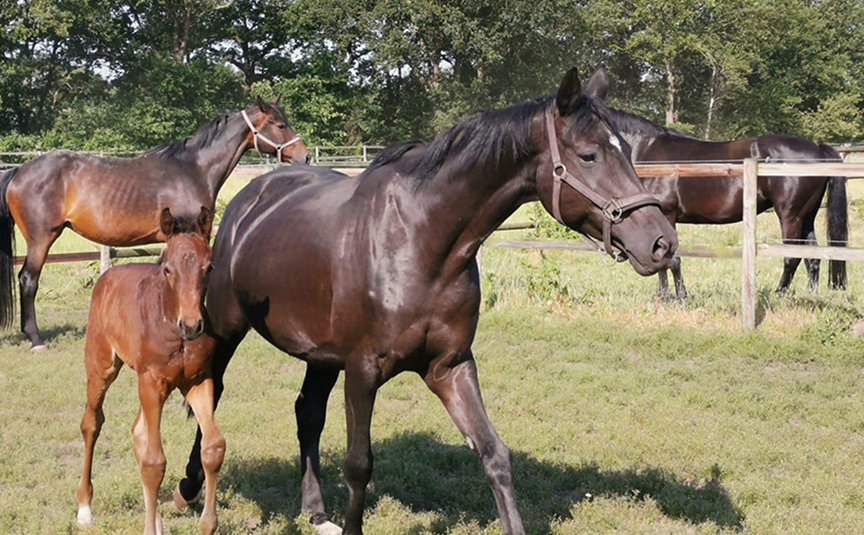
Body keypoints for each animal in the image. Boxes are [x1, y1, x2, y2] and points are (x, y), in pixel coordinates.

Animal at [0, 97, 308, 350]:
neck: (192, 170)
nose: (303, 155)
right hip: (42, 238)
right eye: (280, 124)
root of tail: (19, 170)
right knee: (28, 280)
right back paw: (36, 339)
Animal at [75, 206, 223, 535]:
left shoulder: (198, 381)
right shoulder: (151, 381)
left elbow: (212, 447)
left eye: (208, 267)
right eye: (167, 269)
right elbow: (154, 462)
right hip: (101, 367)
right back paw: (84, 508)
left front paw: (208, 524)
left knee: (139, 433)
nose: (191, 326)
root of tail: (107, 277)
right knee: (92, 423)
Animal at [171, 67, 678, 535]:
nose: (661, 243)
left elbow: (494, 453)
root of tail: (248, 200)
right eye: (589, 155)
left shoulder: (450, 365)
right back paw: (188, 487)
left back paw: (316, 512)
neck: (420, 240)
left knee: (307, 413)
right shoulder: (363, 369)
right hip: (226, 328)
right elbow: (359, 464)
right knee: (212, 391)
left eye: (627, 152)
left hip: (320, 355)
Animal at [596, 70, 848, 299]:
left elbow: (671, 259)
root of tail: (816, 148)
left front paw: (679, 297)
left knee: (792, 257)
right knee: (813, 257)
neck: (647, 151)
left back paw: (778, 295)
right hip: (807, 215)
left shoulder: (666, 214)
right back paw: (811, 296)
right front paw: (665, 295)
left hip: (791, 216)